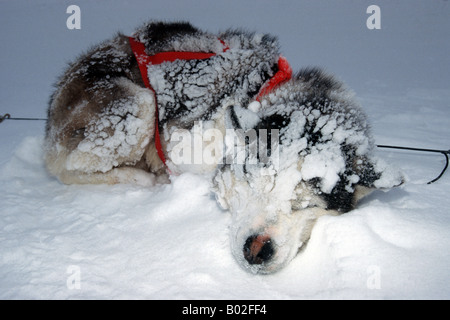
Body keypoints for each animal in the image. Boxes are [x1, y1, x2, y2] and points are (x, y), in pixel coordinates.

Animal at [44, 21, 404, 274]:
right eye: (254, 182)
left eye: (307, 204)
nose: (256, 249)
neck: (259, 95)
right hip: (139, 103)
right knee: (64, 166)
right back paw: (141, 177)